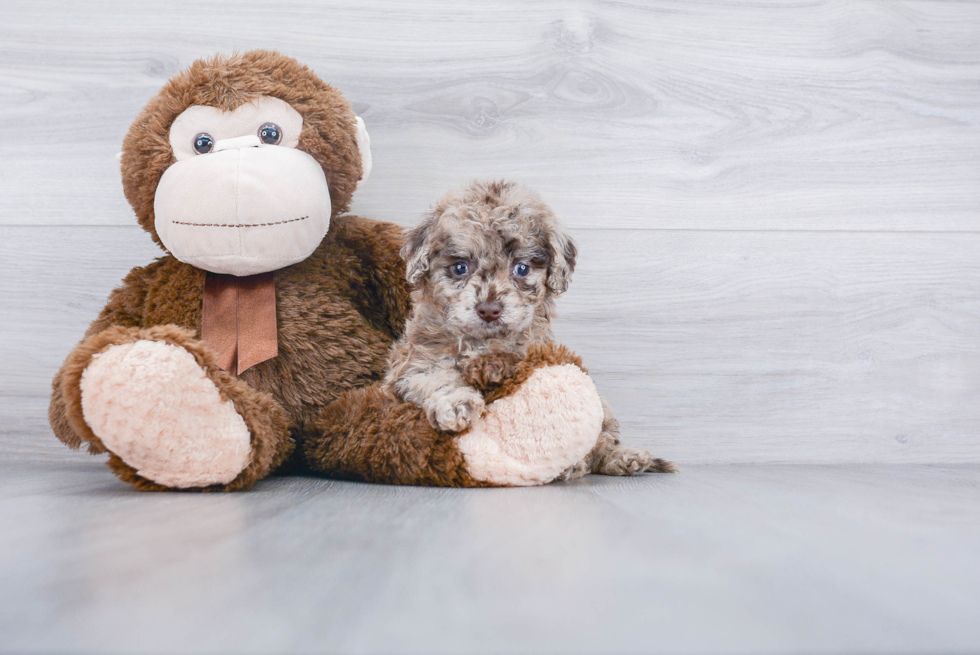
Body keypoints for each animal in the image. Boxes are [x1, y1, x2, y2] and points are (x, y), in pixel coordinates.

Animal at [382, 182, 672, 480]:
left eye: (521, 269)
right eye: (460, 267)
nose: (489, 309)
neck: (484, 343)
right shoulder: (413, 365)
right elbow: (437, 378)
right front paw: (457, 404)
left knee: (601, 441)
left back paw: (619, 457)